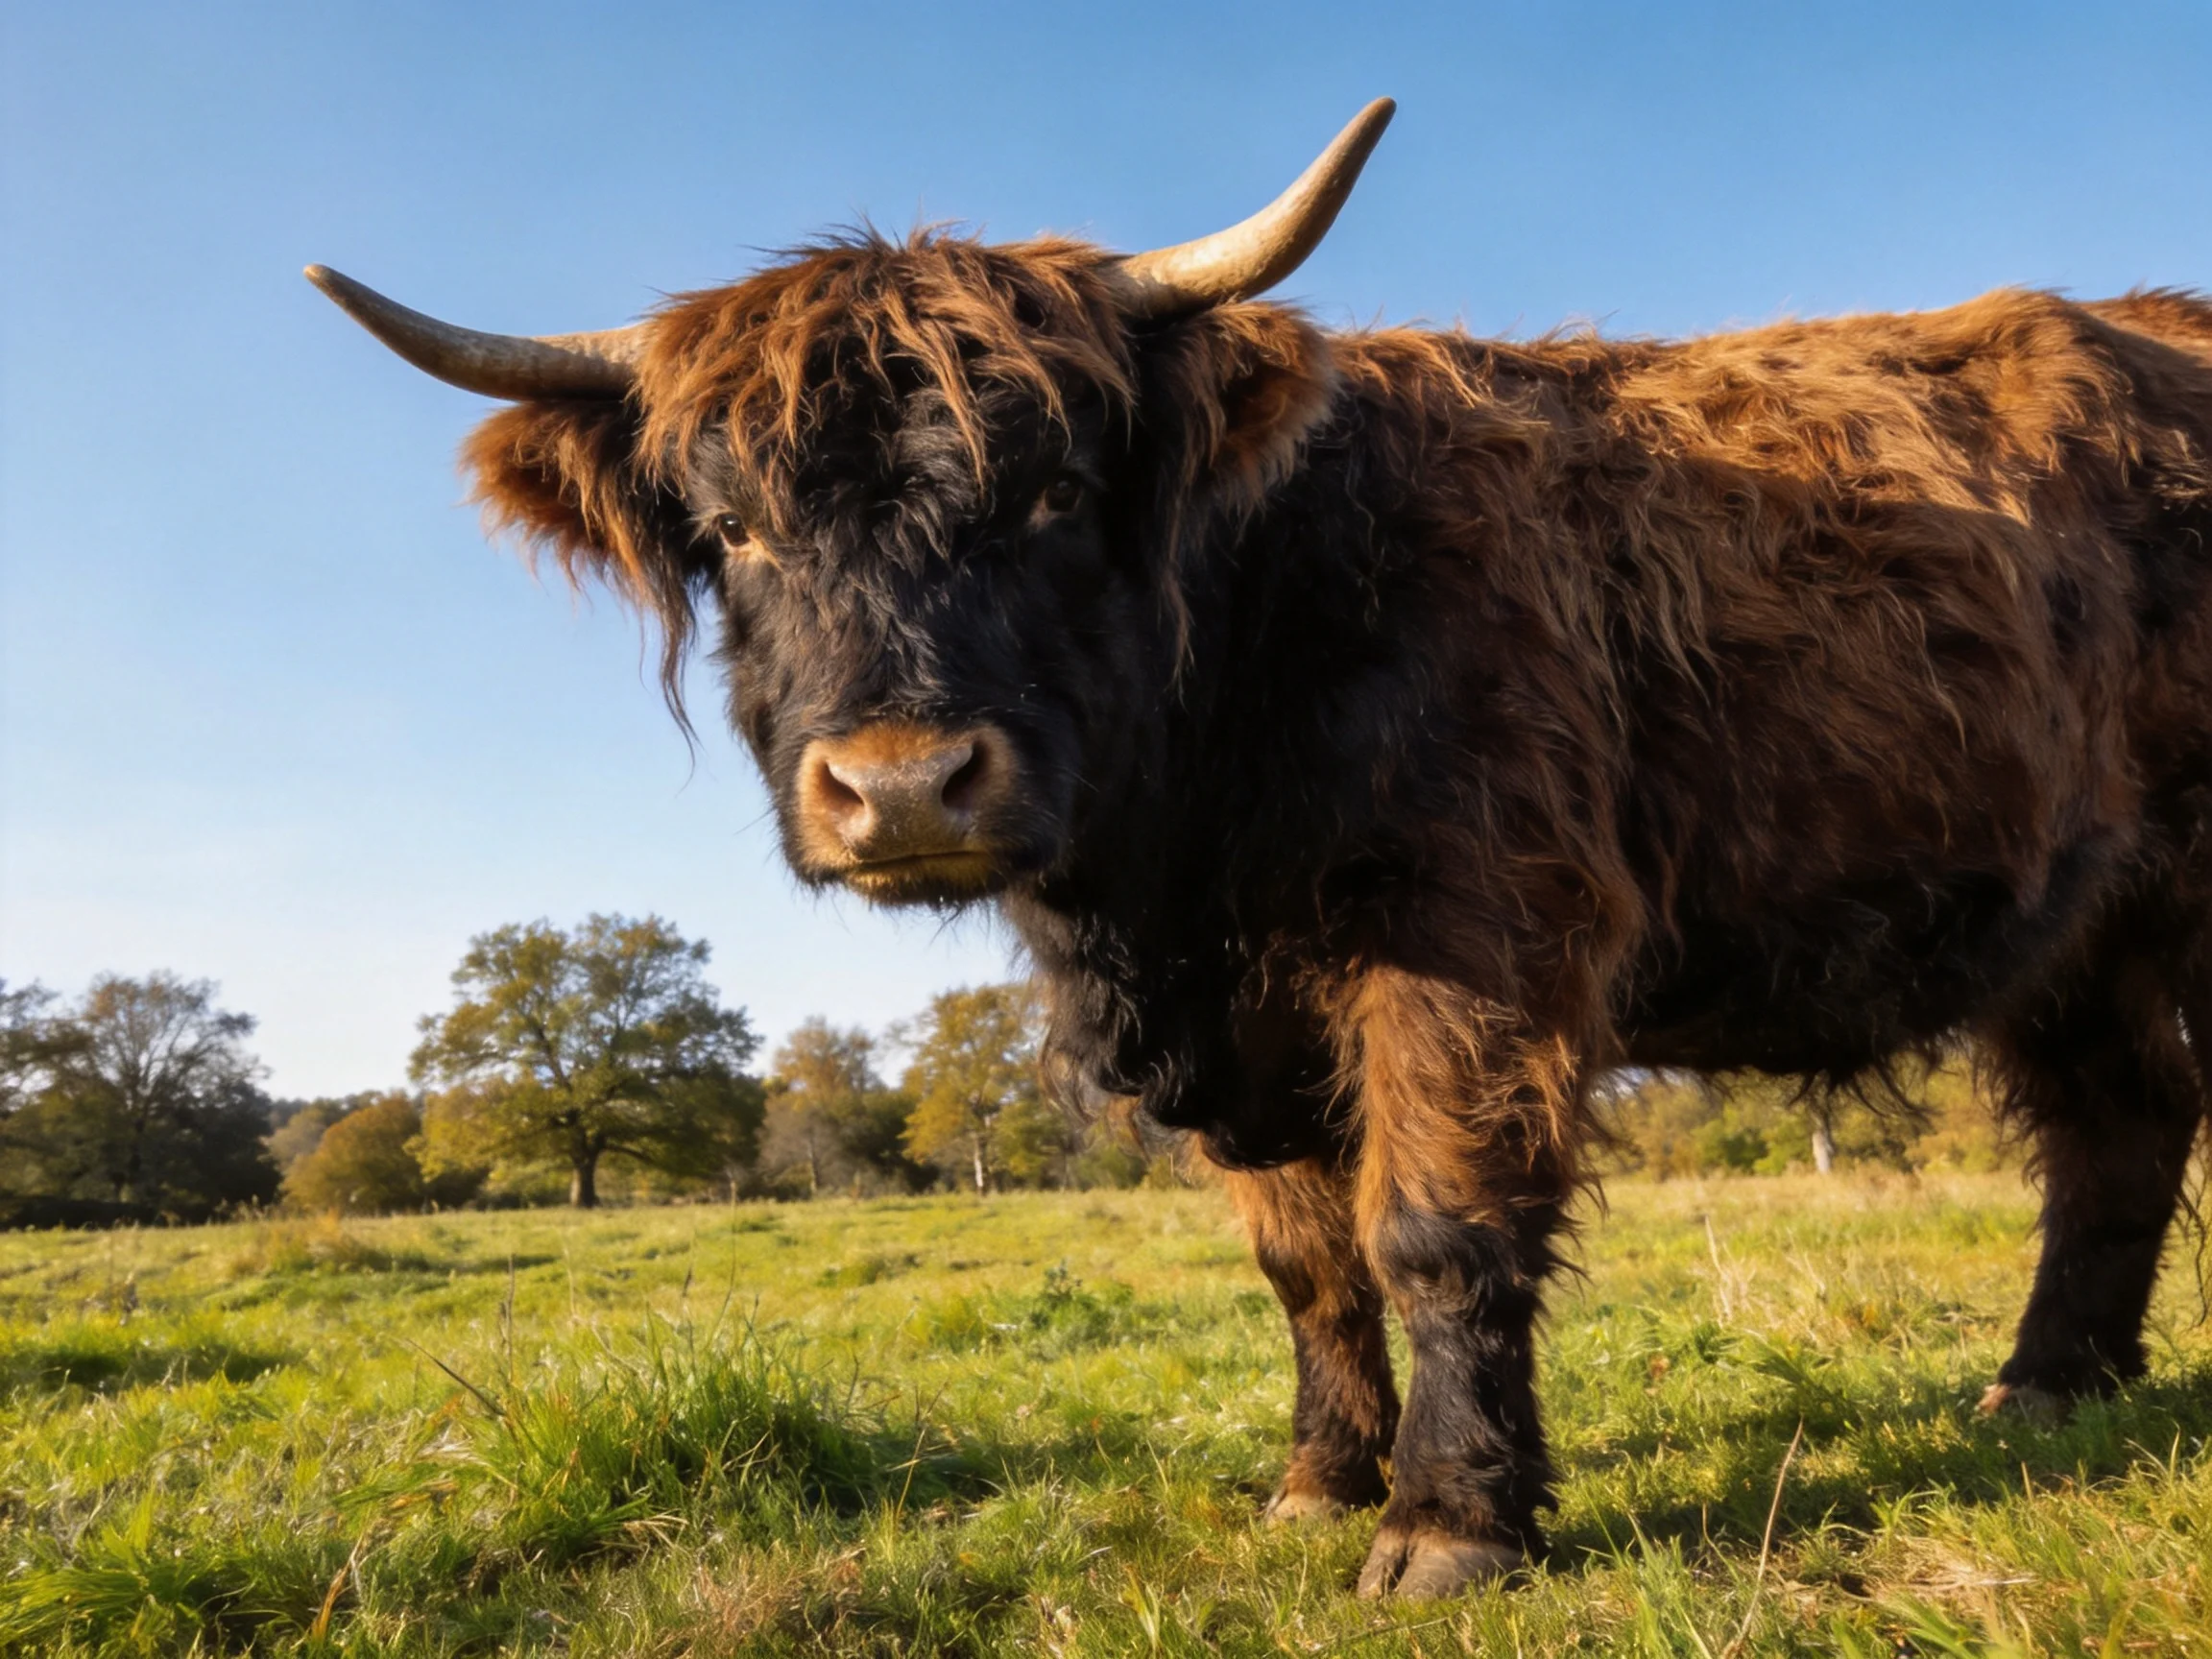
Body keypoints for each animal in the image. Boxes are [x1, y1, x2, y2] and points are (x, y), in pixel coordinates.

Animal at [309, 99, 2212, 1598]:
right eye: (732, 530)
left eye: (1057, 491)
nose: (906, 784)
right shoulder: (1239, 1019)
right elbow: (1304, 1256)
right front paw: (1317, 1485)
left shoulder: (1471, 932)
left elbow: (1432, 1224)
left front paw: (1448, 1526)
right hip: (2082, 917)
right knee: (2116, 1117)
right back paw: (2046, 1384)